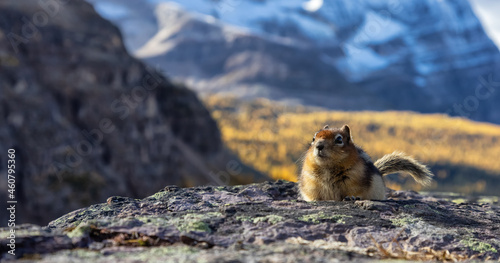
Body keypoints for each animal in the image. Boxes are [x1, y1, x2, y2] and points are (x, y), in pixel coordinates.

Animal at [298, 125, 432, 201]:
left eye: (339, 139)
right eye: (313, 138)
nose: (319, 146)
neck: (328, 166)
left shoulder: (355, 180)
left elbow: (355, 191)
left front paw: (351, 197)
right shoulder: (311, 182)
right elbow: (314, 195)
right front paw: (315, 200)